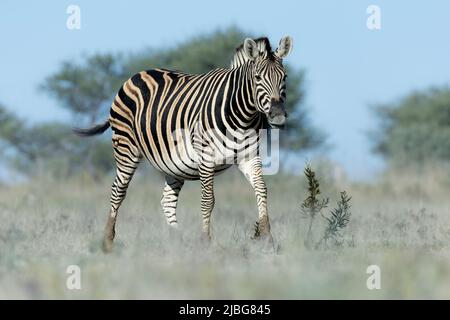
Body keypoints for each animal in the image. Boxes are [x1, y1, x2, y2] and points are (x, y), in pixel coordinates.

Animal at [75, 36, 294, 251]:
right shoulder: (206, 156)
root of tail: (137, 74)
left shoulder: (249, 156)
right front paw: (205, 241)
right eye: (257, 78)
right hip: (125, 147)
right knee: (118, 191)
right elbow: (208, 200)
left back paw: (178, 241)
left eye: (284, 78)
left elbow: (262, 190)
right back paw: (108, 241)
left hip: (173, 163)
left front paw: (268, 239)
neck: (243, 115)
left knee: (167, 200)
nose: (278, 116)